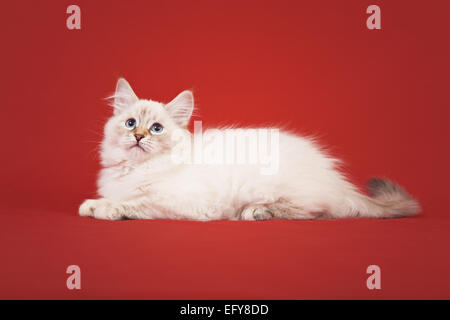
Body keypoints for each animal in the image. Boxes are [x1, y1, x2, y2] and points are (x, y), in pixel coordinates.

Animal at [79, 79, 420, 221]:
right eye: (130, 123)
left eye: (156, 129)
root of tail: (338, 181)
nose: (138, 137)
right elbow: (114, 198)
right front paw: (93, 204)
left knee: (315, 211)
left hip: (277, 188)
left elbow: (135, 203)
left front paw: (106, 210)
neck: (136, 169)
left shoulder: (178, 202)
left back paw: (253, 212)